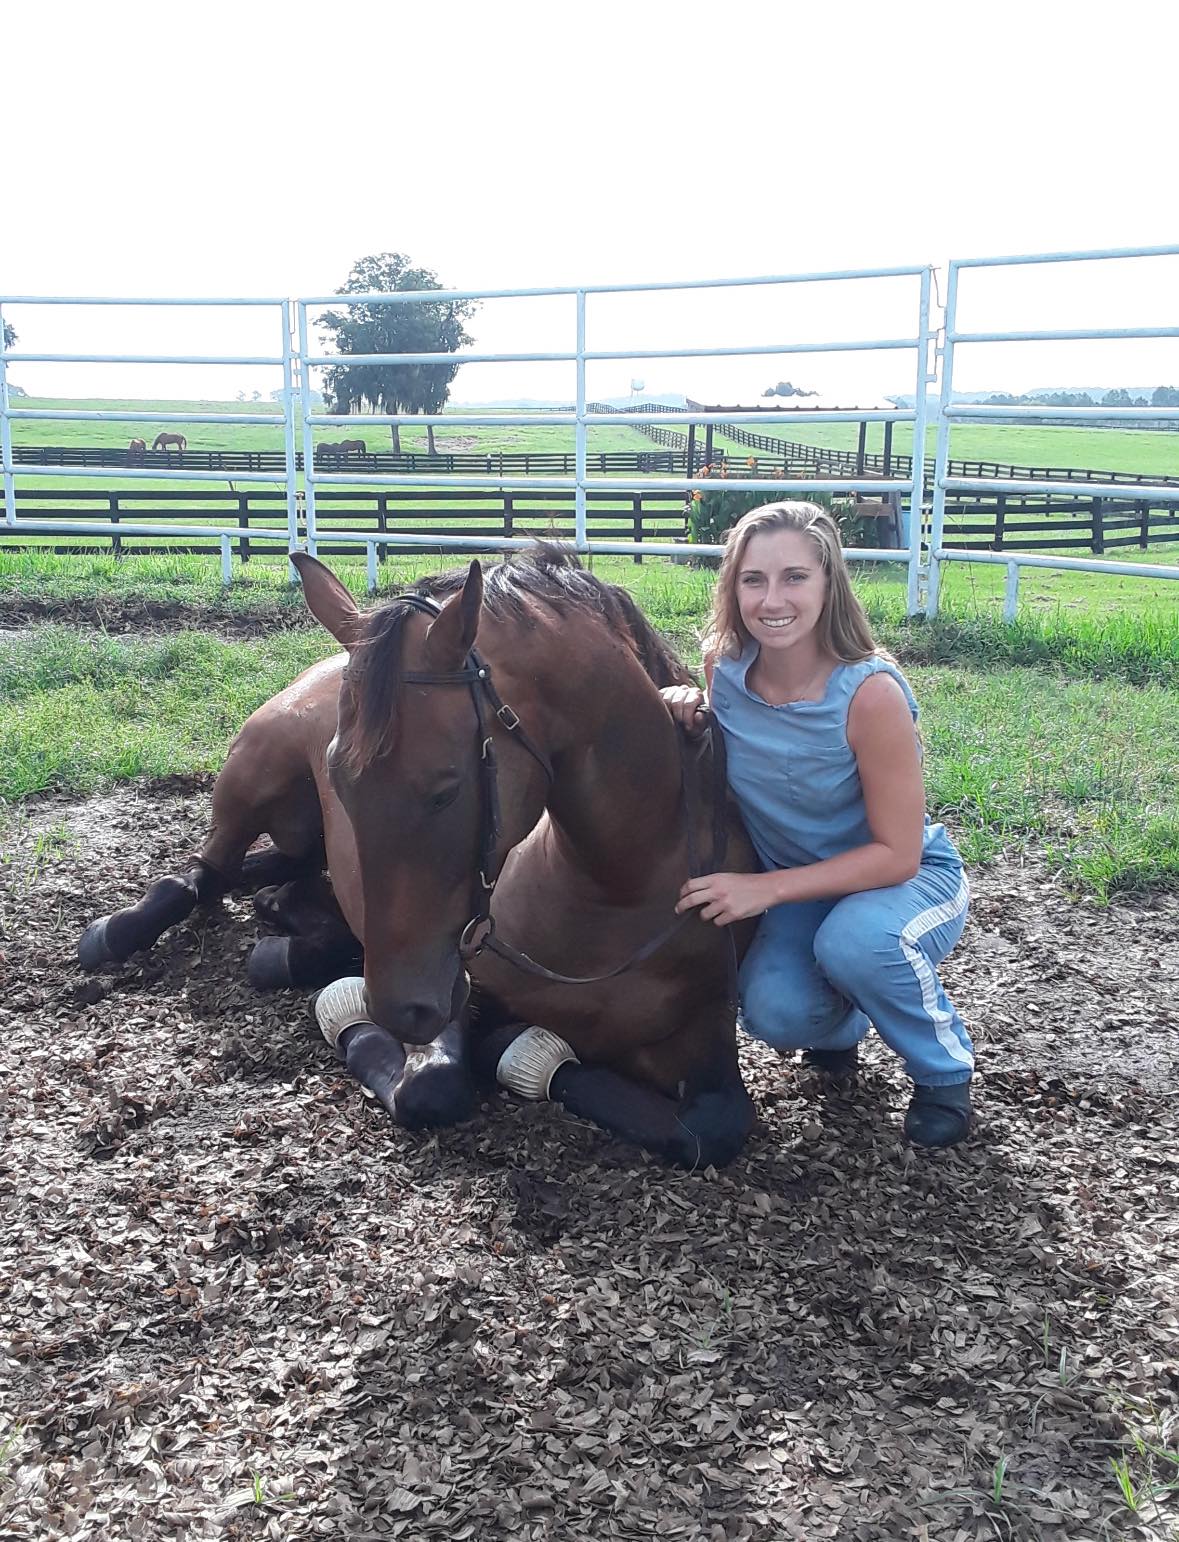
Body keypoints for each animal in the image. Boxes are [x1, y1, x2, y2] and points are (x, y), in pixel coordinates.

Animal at [77, 549, 759, 1167]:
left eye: (445, 789)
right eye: (339, 779)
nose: (400, 1007)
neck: (616, 889)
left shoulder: (706, 1044)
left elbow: (714, 1129)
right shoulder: (459, 982)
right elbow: (431, 1087)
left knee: (273, 884)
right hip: (251, 782)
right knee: (203, 873)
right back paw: (120, 933)